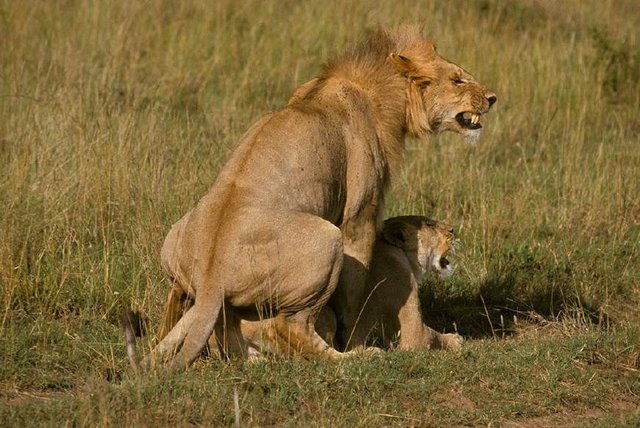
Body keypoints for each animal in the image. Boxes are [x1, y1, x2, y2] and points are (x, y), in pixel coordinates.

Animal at [129, 25, 496, 372]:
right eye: (458, 79)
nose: (492, 98)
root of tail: (210, 279)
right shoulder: (359, 217)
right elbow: (355, 294)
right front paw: (355, 343)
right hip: (327, 238)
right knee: (291, 326)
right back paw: (352, 358)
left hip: (176, 244)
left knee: (176, 302)